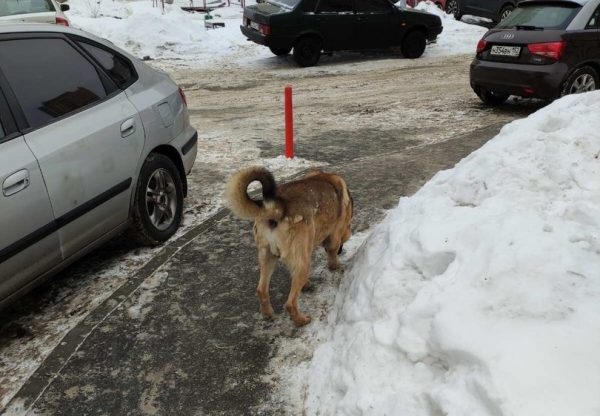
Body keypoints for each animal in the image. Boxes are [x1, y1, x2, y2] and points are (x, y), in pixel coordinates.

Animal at [225, 167, 352, 326]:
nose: (342, 250)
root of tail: (277, 208)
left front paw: (306, 284)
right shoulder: (334, 236)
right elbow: (332, 254)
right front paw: (336, 266)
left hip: (267, 257)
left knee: (261, 289)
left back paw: (268, 314)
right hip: (303, 264)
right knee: (290, 303)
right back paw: (301, 320)